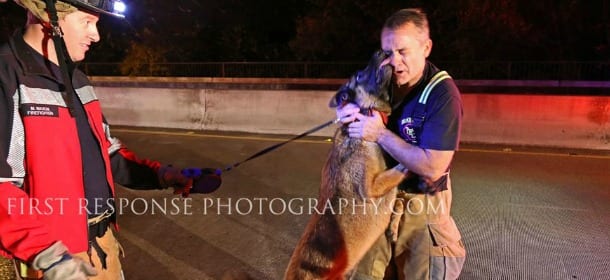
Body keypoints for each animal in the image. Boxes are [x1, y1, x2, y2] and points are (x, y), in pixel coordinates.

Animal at [0, 1, 214, 278]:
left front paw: (171, 174)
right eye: (87, 23)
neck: (50, 61)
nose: (95, 39)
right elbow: (7, 180)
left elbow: (110, 148)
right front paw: (59, 261)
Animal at [282, 51, 406, 278]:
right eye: (358, 75)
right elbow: (398, 174)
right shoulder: (371, 188)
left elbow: (400, 199)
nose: (380, 51)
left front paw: (393, 226)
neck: (359, 117)